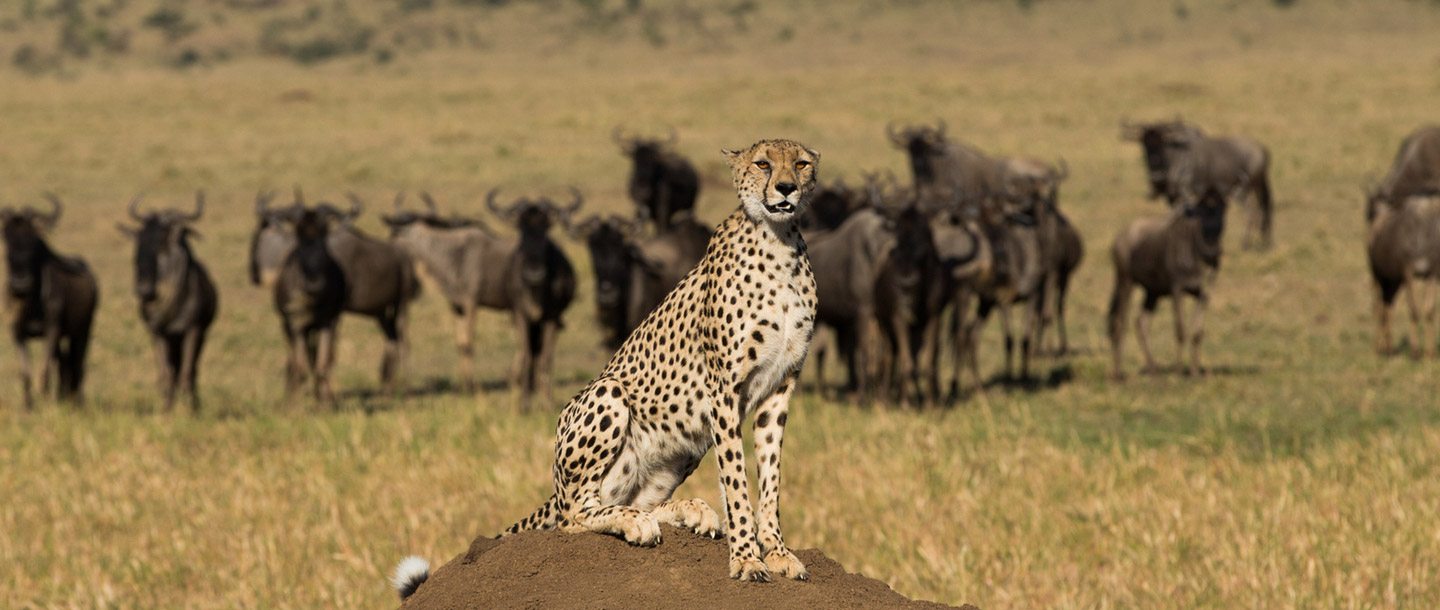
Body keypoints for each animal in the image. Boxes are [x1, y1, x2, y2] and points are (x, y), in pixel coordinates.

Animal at [506, 136, 823, 581]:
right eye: (763, 164)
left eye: (801, 163)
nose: (786, 188)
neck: (778, 242)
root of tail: (555, 487)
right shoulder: (723, 390)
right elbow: (736, 478)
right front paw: (746, 557)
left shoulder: (779, 389)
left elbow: (770, 476)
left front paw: (776, 551)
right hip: (609, 393)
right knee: (574, 515)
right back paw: (634, 523)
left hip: (681, 447)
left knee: (626, 498)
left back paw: (689, 511)